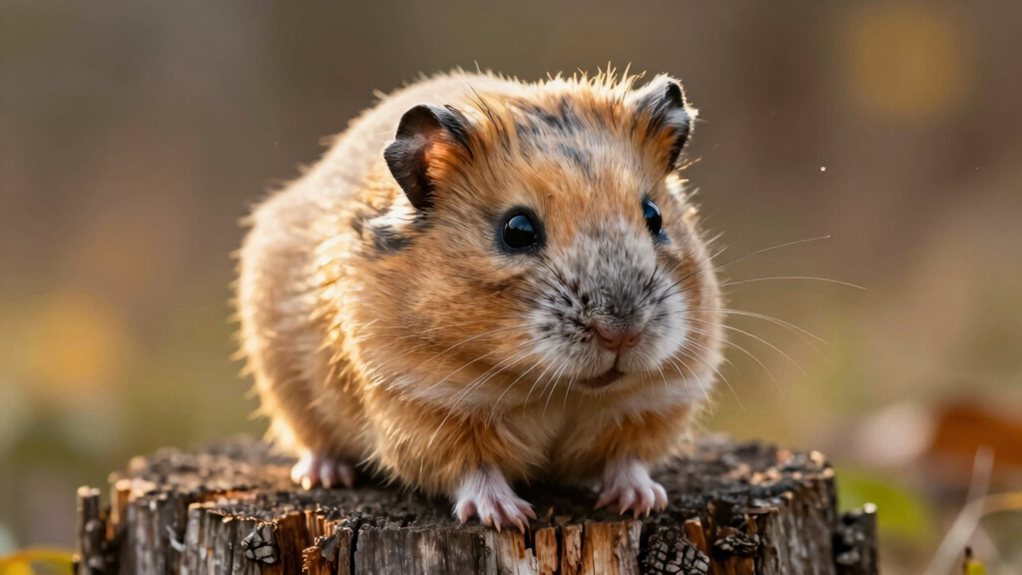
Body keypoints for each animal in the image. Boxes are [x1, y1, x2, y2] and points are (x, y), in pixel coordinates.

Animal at [236, 70, 723, 531]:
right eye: (517, 230)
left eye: (654, 216)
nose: (620, 335)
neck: (557, 390)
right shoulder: (421, 407)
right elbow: (474, 470)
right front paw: (510, 517)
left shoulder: (654, 400)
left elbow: (627, 460)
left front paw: (644, 502)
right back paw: (323, 475)